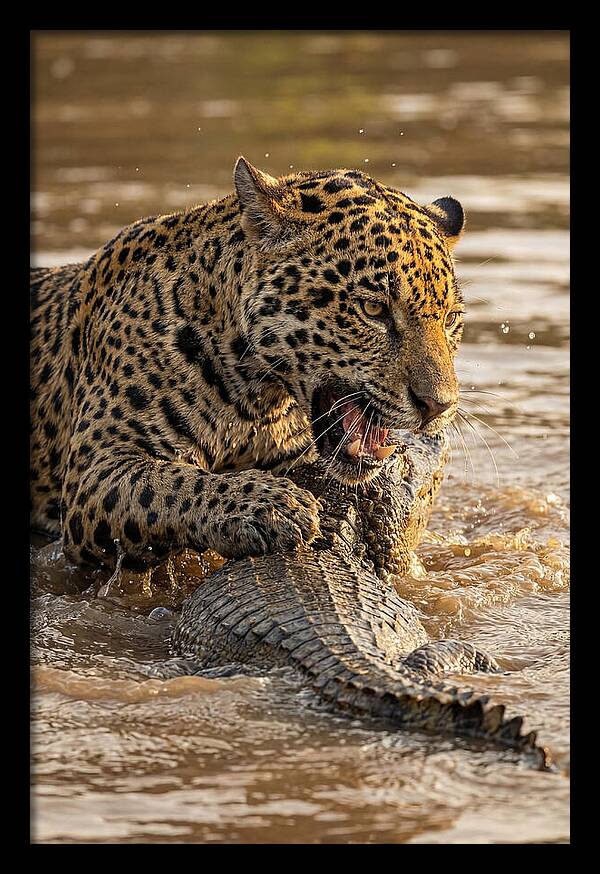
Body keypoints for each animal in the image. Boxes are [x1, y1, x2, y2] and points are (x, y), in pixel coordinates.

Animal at [30, 157, 466, 572]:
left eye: (450, 319)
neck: (257, 399)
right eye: (373, 309)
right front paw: (270, 506)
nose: (438, 406)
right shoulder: (97, 470)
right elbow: (169, 483)